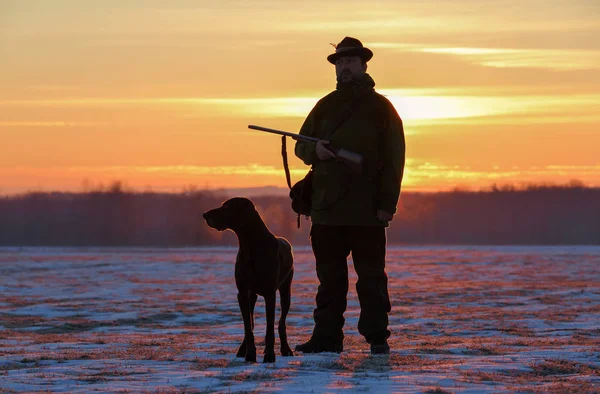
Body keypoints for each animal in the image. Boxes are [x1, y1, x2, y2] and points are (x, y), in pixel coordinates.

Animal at [203, 197, 294, 364]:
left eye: (227, 207)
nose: (204, 214)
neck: (249, 245)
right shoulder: (242, 292)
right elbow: (247, 326)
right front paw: (250, 354)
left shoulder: (270, 293)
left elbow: (270, 326)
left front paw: (269, 355)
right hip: (252, 295)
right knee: (250, 321)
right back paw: (242, 349)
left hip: (286, 290)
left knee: (281, 321)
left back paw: (286, 349)